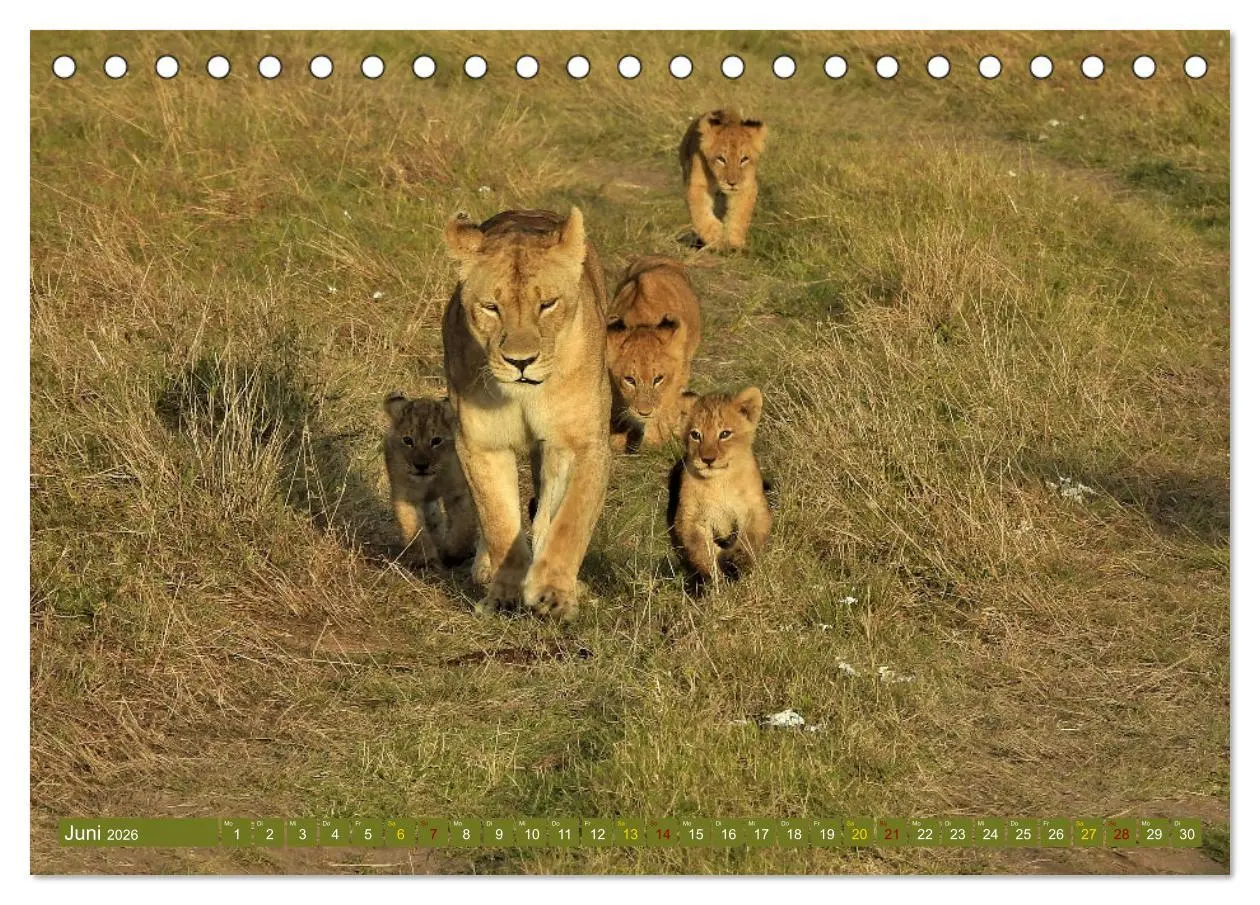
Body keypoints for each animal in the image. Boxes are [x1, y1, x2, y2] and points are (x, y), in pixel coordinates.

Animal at [383, 392, 478, 567]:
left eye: (436, 441)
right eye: (408, 440)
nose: (421, 466)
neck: (431, 481)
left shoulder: (457, 492)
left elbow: (464, 523)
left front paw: (455, 554)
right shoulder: (406, 496)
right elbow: (412, 527)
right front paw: (425, 559)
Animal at [441, 208, 611, 621]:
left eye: (547, 304)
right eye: (491, 307)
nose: (521, 362)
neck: (521, 396)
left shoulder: (586, 444)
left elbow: (571, 520)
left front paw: (552, 593)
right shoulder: (479, 443)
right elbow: (498, 519)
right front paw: (503, 594)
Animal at [606, 256, 702, 451]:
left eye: (658, 379)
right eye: (630, 380)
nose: (644, 413)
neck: (642, 321)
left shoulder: (677, 374)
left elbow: (664, 408)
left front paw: (653, 444)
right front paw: (617, 440)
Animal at [667, 387, 772, 584]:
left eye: (724, 434)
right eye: (695, 435)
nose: (707, 459)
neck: (718, 482)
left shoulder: (755, 508)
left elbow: (749, 538)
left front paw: (737, 563)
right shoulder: (689, 517)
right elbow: (700, 548)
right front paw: (713, 577)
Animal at [678, 109, 768, 251]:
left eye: (744, 159)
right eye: (721, 159)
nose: (732, 183)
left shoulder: (746, 187)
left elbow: (740, 215)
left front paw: (734, 243)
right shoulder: (697, 185)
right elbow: (701, 214)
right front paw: (717, 238)